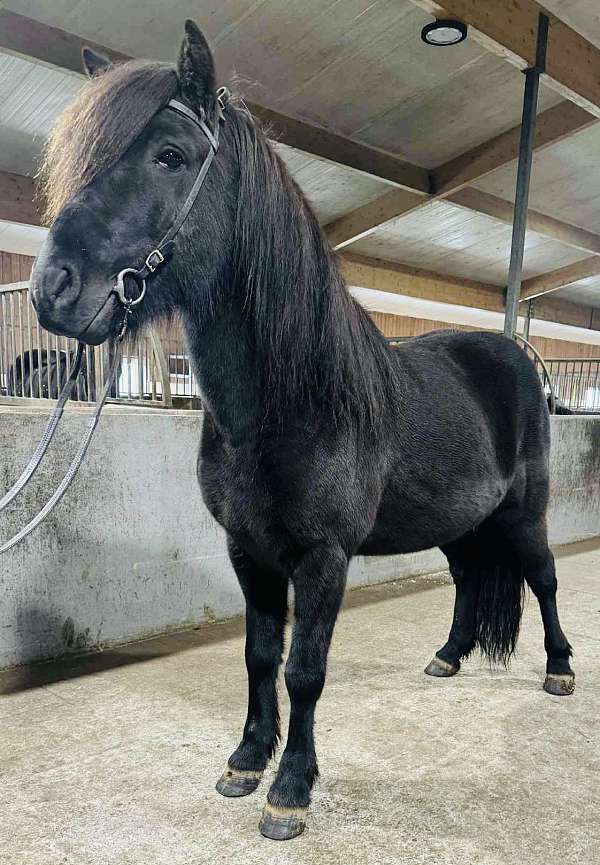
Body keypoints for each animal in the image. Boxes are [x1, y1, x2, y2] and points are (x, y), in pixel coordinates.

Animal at [29, 21, 574, 841]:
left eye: (170, 155)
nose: (51, 289)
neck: (288, 404)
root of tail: (513, 351)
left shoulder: (323, 558)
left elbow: (304, 669)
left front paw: (290, 790)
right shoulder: (247, 551)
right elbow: (260, 657)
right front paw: (245, 761)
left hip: (525, 513)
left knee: (541, 579)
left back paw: (560, 668)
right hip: (459, 522)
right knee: (465, 579)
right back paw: (448, 656)